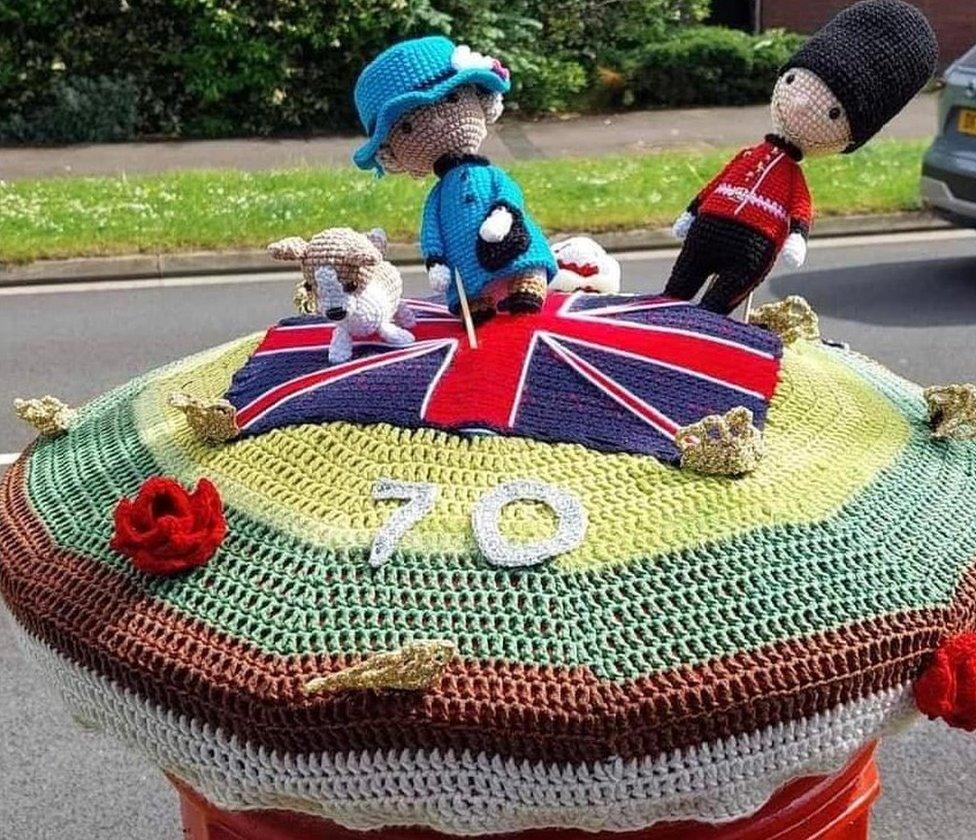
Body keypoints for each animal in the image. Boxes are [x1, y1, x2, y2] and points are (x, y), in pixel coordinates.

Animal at [352, 34, 556, 322]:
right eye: (406, 127)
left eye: (453, 97)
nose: (438, 122)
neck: (458, 165)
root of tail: (497, 288)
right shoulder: (434, 201)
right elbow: (431, 235)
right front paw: (439, 274)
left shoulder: (494, 176)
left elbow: (507, 196)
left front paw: (493, 228)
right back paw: (480, 312)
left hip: (529, 255)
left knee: (530, 271)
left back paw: (524, 302)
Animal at [668, 0, 936, 314]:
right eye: (790, 78)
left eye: (834, 112)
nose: (801, 105)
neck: (782, 147)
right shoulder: (741, 158)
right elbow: (710, 187)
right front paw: (681, 222)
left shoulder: (797, 182)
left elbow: (801, 212)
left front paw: (793, 252)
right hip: (702, 242)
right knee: (687, 269)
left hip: (749, 259)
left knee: (726, 287)